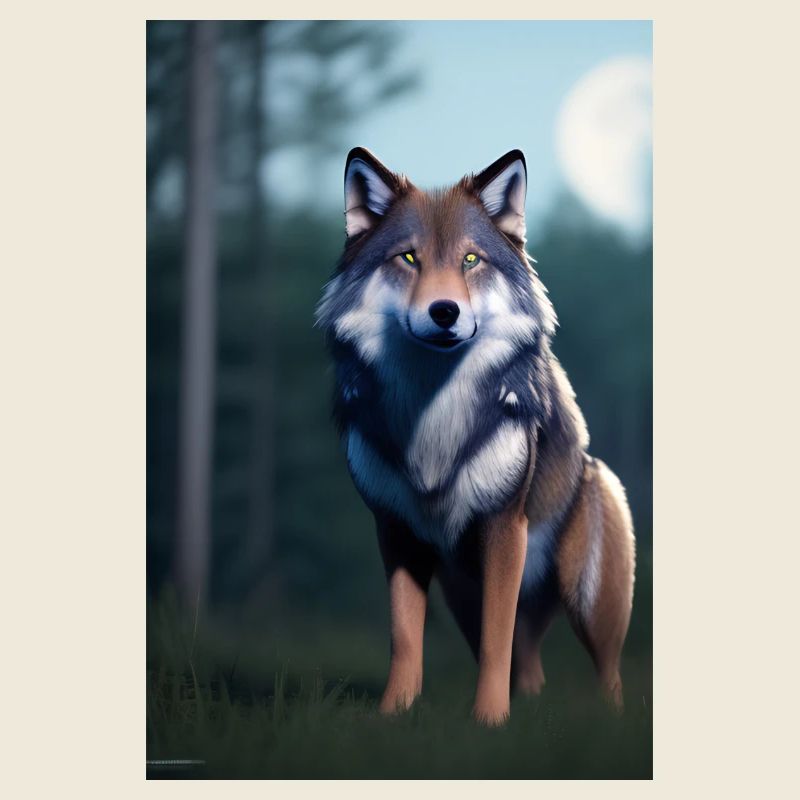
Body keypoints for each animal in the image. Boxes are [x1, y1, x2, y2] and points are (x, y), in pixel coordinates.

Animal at [316, 147, 636, 725]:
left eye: (470, 260)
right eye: (409, 258)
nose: (445, 311)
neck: (432, 415)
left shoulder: (504, 528)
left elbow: (496, 641)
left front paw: (487, 722)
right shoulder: (395, 531)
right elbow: (405, 637)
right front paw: (392, 716)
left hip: (586, 598)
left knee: (608, 674)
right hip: (460, 590)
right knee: (529, 669)